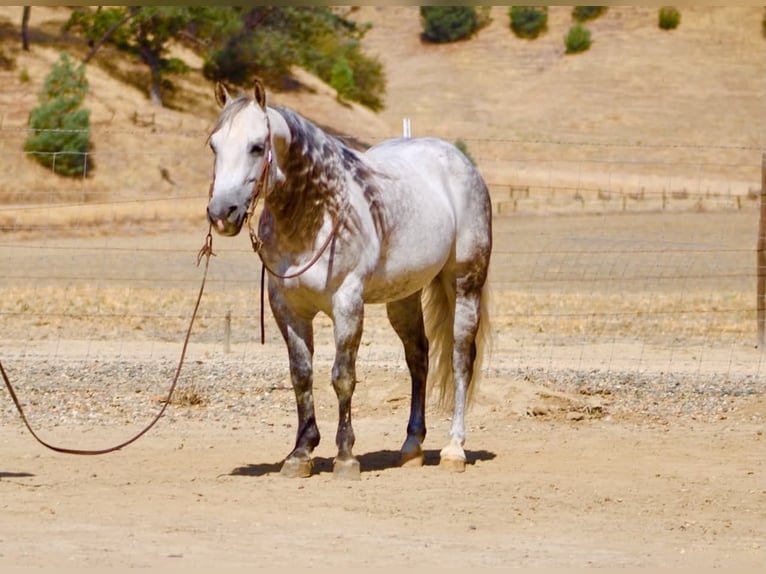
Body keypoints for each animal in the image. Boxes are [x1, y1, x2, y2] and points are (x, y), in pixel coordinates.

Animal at [205, 80, 492, 479]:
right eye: (213, 145)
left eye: (257, 146)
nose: (221, 214)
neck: (316, 215)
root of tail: (459, 161)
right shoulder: (287, 308)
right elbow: (301, 374)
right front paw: (301, 452)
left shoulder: (347, 303)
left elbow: (342, 375)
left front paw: (345, 455)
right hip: (403, 297)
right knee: (418, 357)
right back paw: (411, 447)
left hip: (465, 283)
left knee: (461, 358)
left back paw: (454, 449)